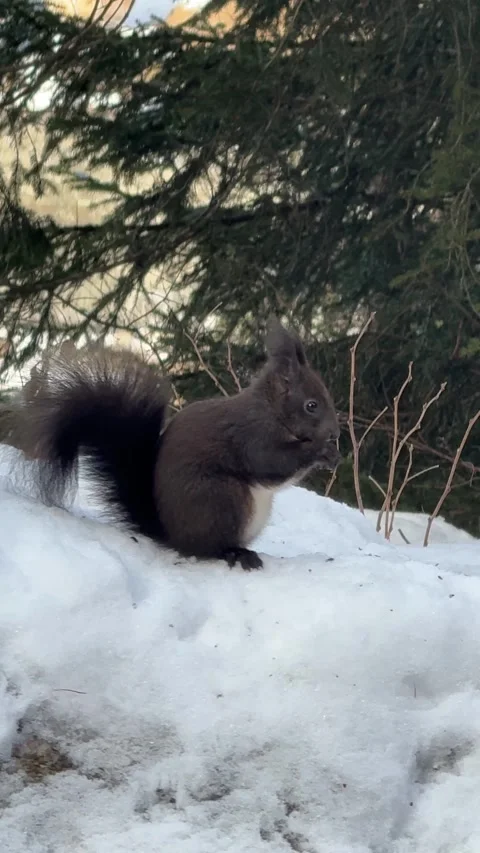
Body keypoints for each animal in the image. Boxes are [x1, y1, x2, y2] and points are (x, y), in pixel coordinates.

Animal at [13, 318, 340, 570]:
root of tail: (172, 535)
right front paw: (319, 451)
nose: (336, 433)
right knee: (209, 548)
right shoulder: (252, 435)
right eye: (311, 405)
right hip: (222, 499)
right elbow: (272, 463)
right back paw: (236, 554)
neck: (272, 410)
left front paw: (333, 455)